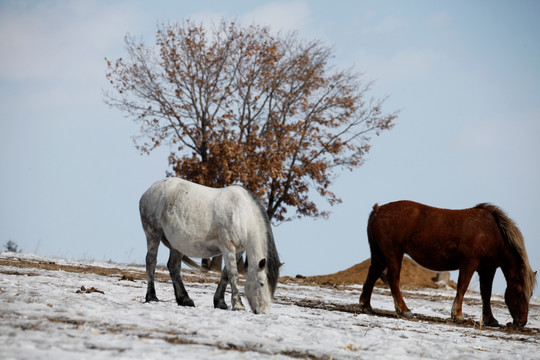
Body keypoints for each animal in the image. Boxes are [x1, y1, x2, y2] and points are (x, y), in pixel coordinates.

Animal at [139, 179, 280, 314]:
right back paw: (152, 297)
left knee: (173, 267)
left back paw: (185, 300)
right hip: (153, 234)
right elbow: (233, 275)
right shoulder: (228, 247)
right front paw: (238, 305)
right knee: (151, 262)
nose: (263, 311)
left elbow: (225, 274)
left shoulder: (238, 250)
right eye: (262, 284)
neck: (242, 214)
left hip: (177, 244)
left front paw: (220, 302)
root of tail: (147, 192)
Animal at [358, 201, 536, 328]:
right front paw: (457, 315)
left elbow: (486, 293)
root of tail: (378, 209)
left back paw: (366, 305)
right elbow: (462, 287)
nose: (522, 322)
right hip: (394, 253)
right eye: (519, 293)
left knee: (372, 275)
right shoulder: (469, 263)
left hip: (381, 255)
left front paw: (490, 319)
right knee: (393, 279)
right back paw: (404, 309)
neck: (492, 233)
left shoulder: (488, 268)